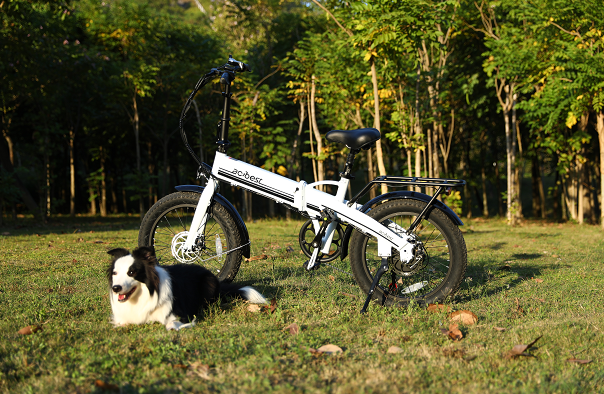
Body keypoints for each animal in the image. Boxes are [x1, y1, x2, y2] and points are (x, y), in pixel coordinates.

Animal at [107, 246, 266, 330]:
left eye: (132, 272)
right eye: (115, 273)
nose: (116, 288)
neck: (146, 293)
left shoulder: (178, 313)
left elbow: (171, 325)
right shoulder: (122, 318)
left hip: (208, 283)